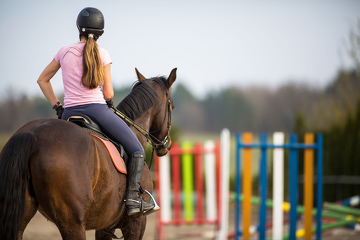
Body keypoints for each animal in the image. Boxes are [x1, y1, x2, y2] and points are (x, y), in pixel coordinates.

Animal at [0, 68, 176, 240]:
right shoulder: (136, 223)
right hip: (72, 223)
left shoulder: (104, 227)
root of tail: (32, 134)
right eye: (172, 107)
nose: (166, 145)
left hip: (21, 217)